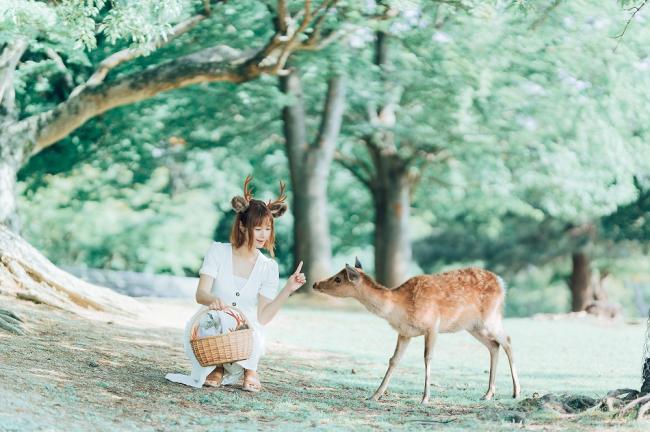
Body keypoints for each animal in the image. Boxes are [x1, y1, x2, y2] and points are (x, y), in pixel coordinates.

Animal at [312, 260, 520, 404]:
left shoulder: (432, 326)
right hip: (473, 326)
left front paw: (425, 398)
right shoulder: (404, 333)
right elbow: (393, 360)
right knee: (494, 345)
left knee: (508, 341)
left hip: (491, 317)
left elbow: (427, 358)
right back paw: (488, 393)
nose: (315, 284)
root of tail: (501, 283)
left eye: (338, 278)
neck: (399, 308)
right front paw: (375, 395)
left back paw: (516, 392)